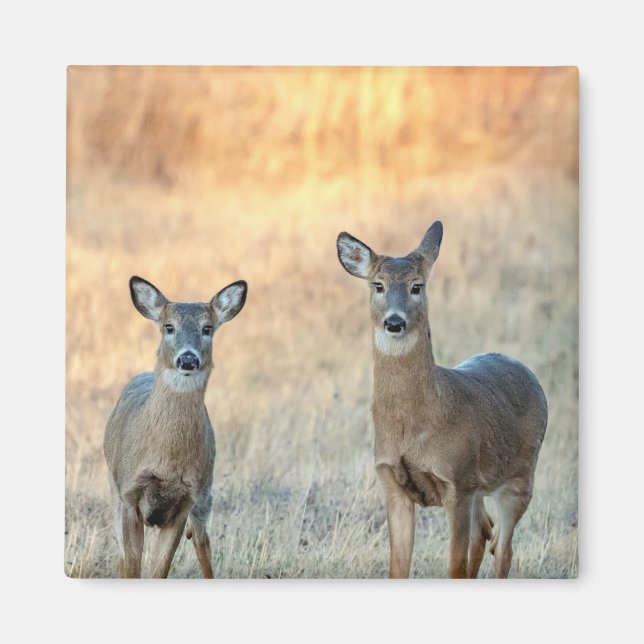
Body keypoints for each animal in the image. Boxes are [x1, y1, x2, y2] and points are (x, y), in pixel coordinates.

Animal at [103, 276, 247, 578]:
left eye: (207, 328)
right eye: (169, 327)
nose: (188, 359)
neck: (165, 461)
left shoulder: (185, 501)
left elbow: (161, 568)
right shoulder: (128, 495)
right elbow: (131, 565)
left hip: (206, 491)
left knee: (203, 541)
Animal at [336, 221, 548, 579]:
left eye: (417, 286)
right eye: (378, 285)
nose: (395, 322)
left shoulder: (457, 484)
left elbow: (455, 567)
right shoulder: (392, 485)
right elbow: (398, 569)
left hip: (520, 475)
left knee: (503, 549)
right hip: (482, 487)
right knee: (485, 533)